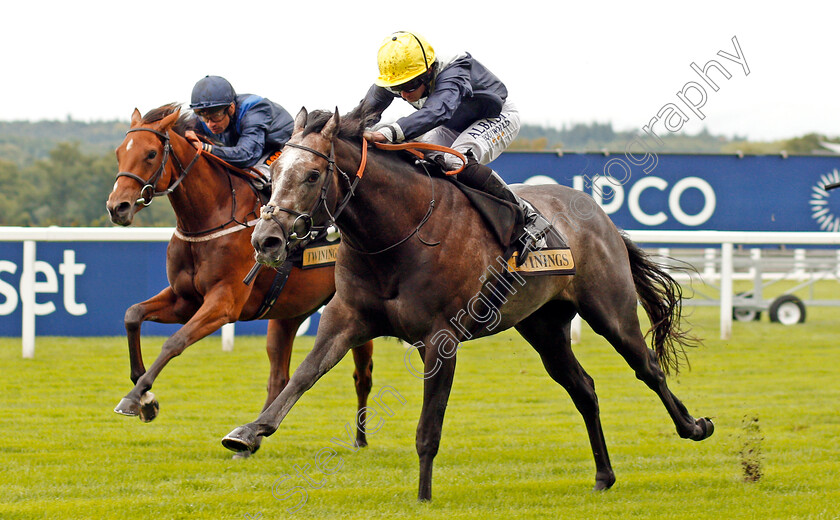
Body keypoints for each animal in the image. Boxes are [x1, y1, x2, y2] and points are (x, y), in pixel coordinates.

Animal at [107, 104, 374, 450]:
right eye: (119, 153)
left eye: (151, 154)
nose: (117, 207)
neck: (211, 218)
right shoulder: (184, 300)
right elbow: (132, 315)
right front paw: (145, 397)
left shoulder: (224, 303)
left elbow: (174, 342)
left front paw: (135, 397)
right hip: (289, 313)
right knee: (279, 376)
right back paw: (247, 442)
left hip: (354, 310)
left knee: (362, 375)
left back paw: (360, 439)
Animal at [220, 106, 712, 500]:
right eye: (273, 174)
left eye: (312, 175)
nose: (266, 239)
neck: (398, 235)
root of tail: (600, 215)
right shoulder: (346, 319)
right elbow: (303, 376)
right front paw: (249, 433)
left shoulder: (440, 339)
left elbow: (428, 427)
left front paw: (423, 496)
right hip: (544, 327)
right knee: (583, 388)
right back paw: (604, 476)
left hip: (610, 310)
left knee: (647, 367)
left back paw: (693, 427)